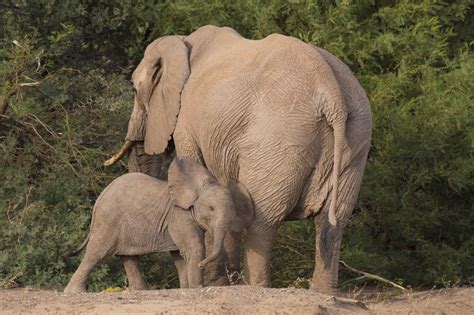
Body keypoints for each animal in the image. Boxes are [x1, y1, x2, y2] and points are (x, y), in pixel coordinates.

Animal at [65, 157, 256, 294]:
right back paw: (74, 292)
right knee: (96, 253)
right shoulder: (180, 216)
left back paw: (140, 291)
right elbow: (193, 248)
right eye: (211, 209)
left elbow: (179, 255)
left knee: (129, 258)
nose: (202, 265)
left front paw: (187, 287)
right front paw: (196, 288)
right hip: (108, 220)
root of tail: (100, 197)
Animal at [106, 25, 370, 296]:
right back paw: (323, 293)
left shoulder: (187, 123)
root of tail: (332, 94)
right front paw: (222, 280)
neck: (182, 42)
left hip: (278, 140)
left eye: (134, 90)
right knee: (332, 223)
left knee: (263, 221)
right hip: (356, 138)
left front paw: (213, 283)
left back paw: (254, 287)